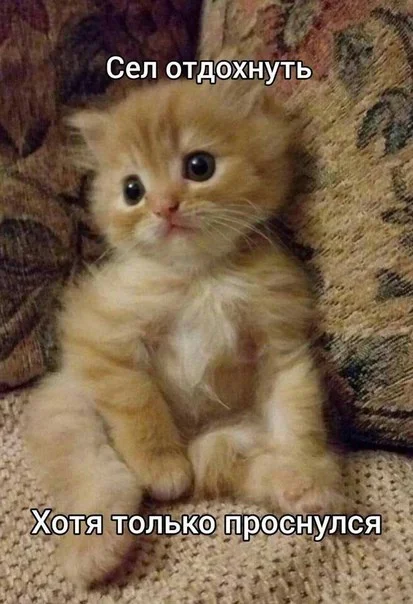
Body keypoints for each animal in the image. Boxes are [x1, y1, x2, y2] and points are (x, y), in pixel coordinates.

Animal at [24, 76, 341, 586]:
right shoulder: (102, 335)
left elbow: (297, 417)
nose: (163, 207)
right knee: (93, 473)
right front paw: (161, 467)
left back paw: (300, 488)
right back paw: (98, 550)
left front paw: (308, 469)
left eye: (199, 166)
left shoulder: (280, 343)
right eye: (132, 190)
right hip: (66, 404)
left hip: (230, 436)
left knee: (234, 464)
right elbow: (138, 404)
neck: (200, 277)